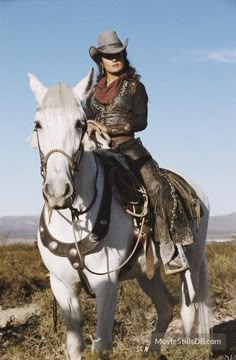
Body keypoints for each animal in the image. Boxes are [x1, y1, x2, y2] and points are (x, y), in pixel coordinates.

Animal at [28, 69, 210, 358]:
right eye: (38, 125)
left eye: (80, 123)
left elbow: (102, 344)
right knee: (165, 307)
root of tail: (196, 190)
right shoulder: (62, 286)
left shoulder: (107, 284)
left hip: (190, 263)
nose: (58, 190)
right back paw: (151, 352)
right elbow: (74, 345)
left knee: (188, 311)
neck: (75, 220)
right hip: (146, 273)